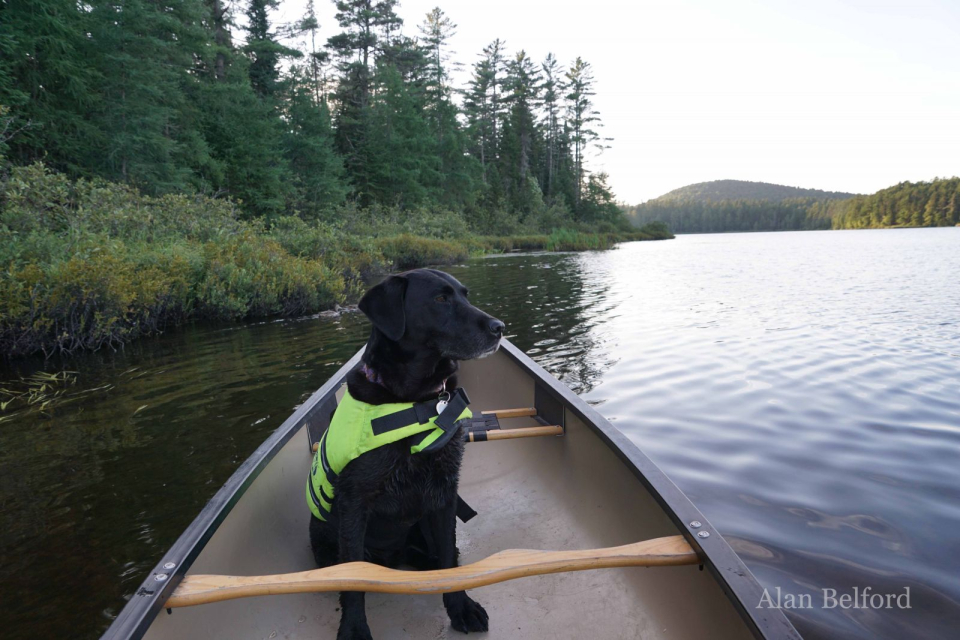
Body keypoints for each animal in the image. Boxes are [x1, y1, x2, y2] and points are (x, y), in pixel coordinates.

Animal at [312, 268, 506, 636]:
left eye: (465, 295)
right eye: (441, 299)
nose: (499, 327)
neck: (414, 401)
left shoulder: (444, 493)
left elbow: (448, 558)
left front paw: (460, 607)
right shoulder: (355, 502)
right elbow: (353, 579)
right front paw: (354, 628)